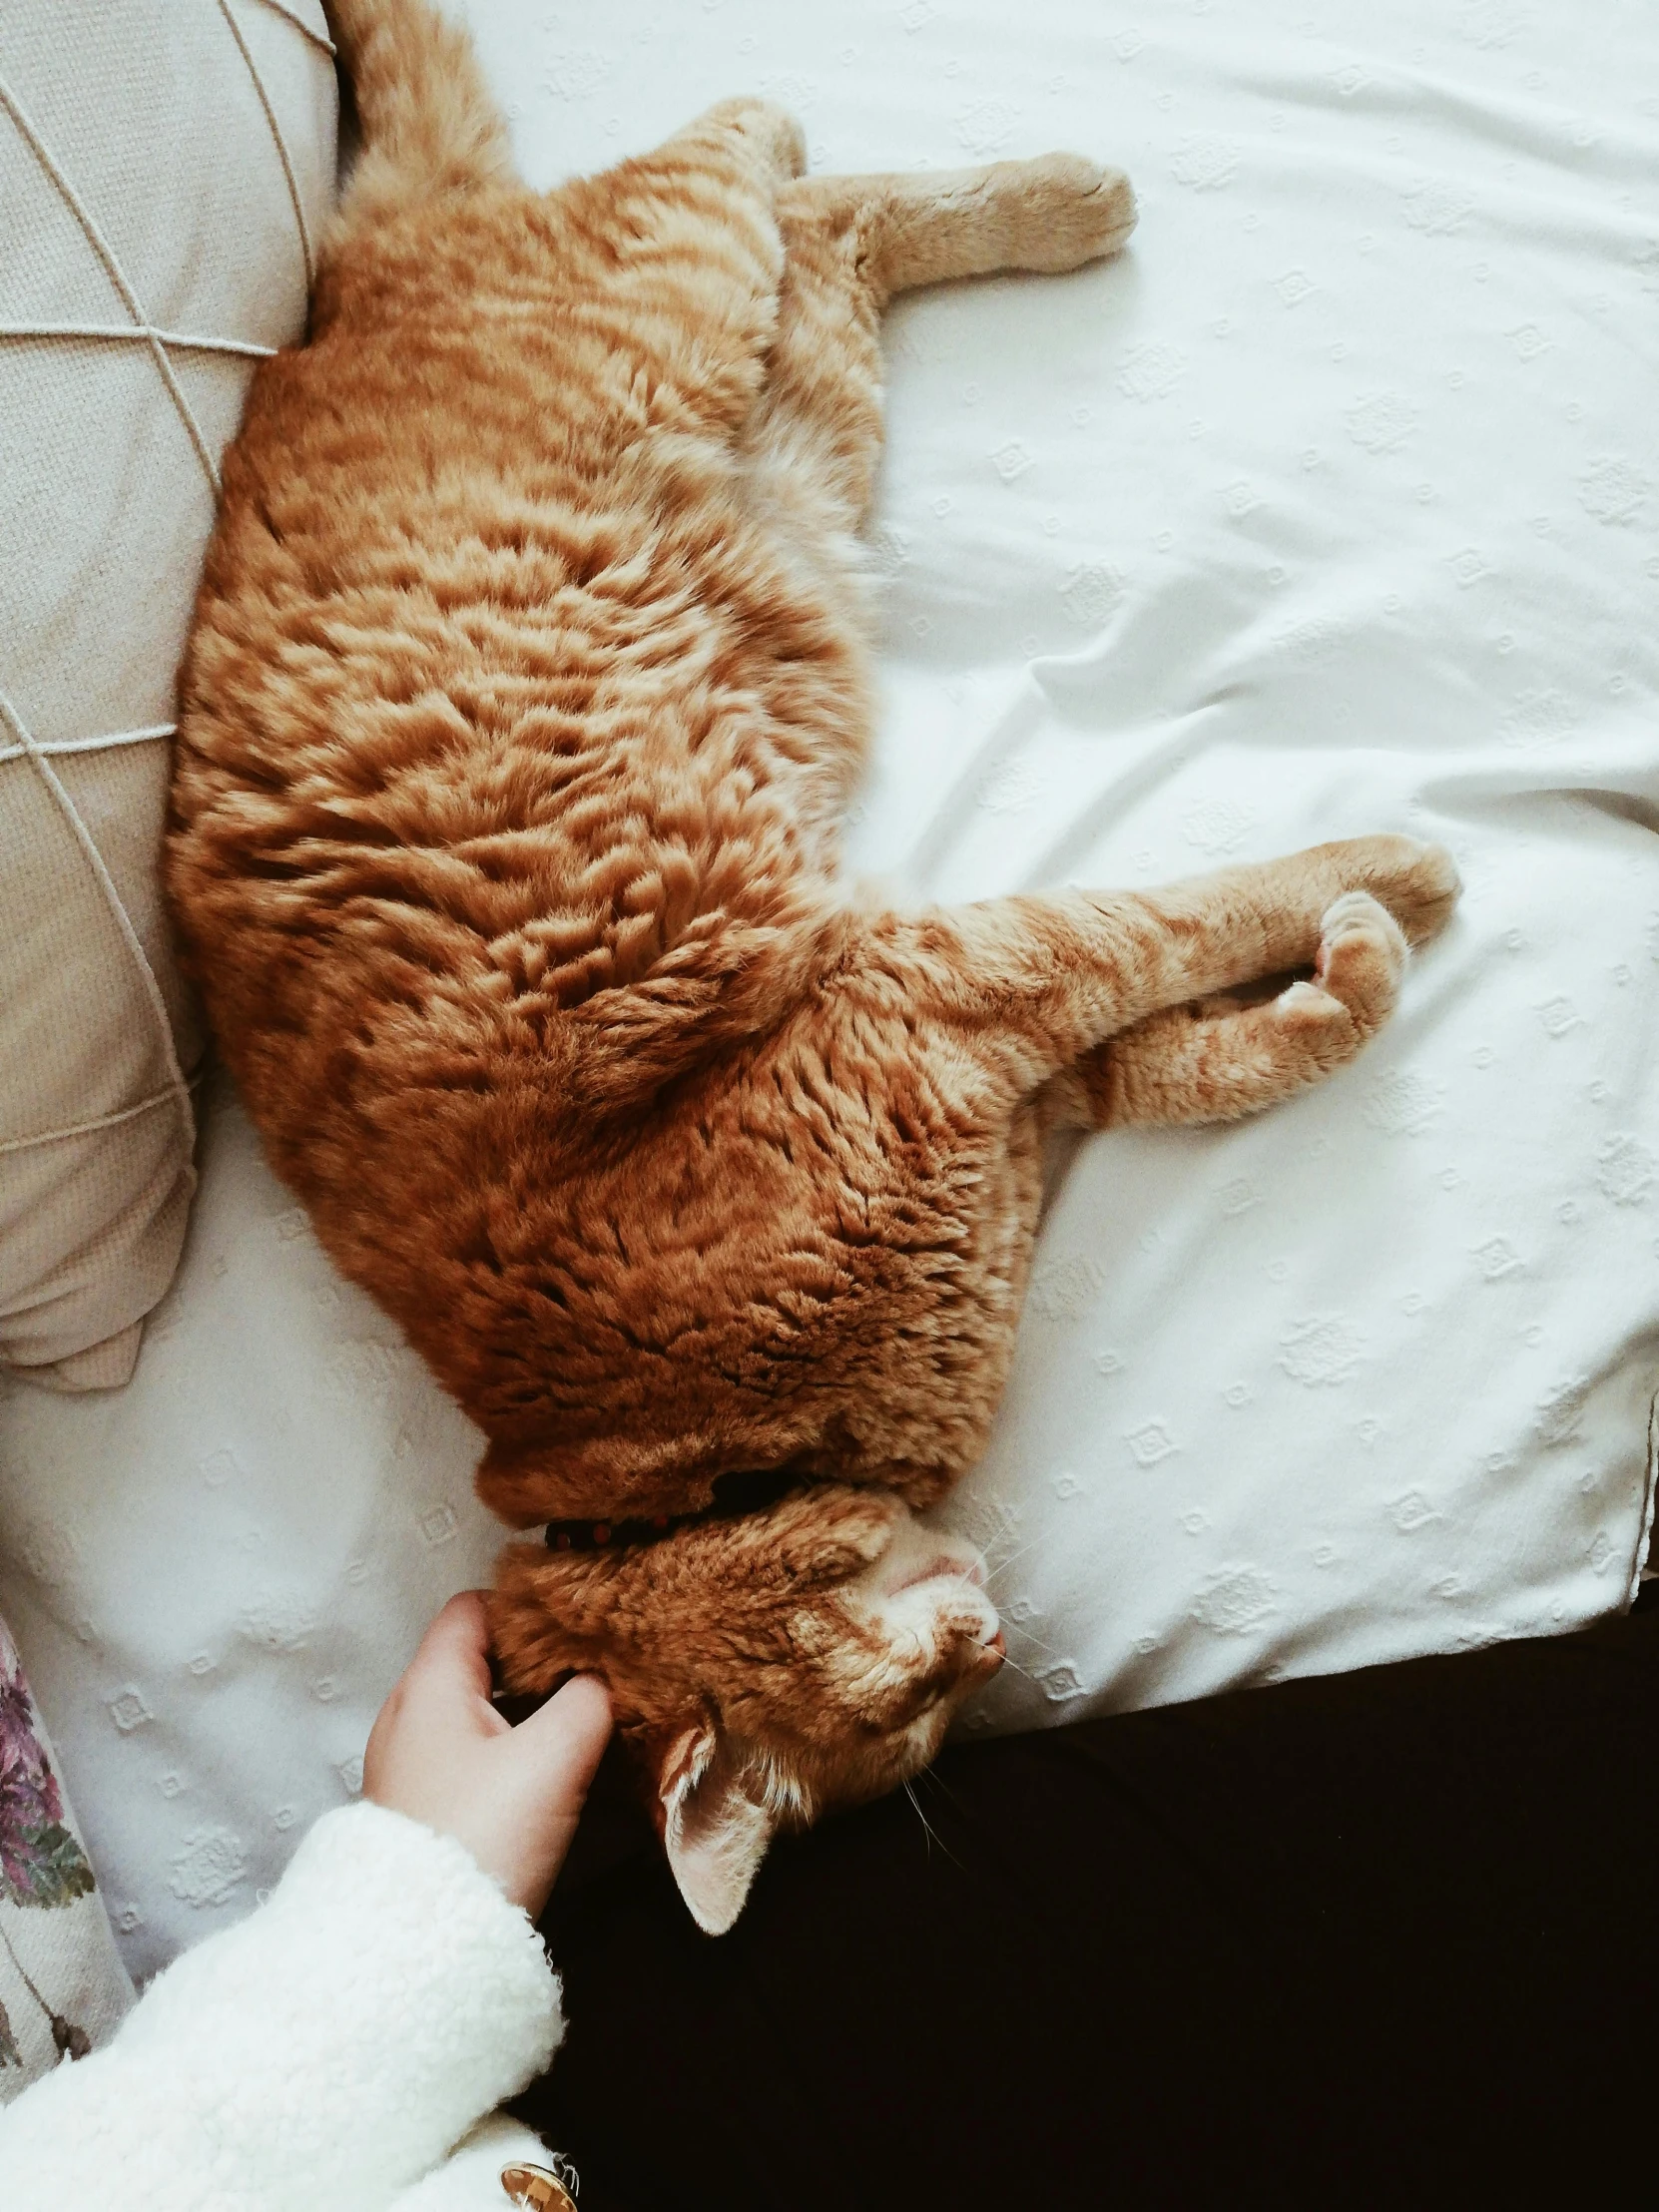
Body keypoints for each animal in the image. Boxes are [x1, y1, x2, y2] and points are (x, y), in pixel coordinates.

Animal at [166, 0, 1450, 1929]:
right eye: (916, 1728)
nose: (992, 1639)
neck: (711, 1444)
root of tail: (344, 282)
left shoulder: (954, 992)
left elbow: (1189, 916)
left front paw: (1393, 876)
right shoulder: (1003, 1064)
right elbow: (1215, 1039)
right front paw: (1354, 954)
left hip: (679, 324)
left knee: (756, 143)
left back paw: (1057, 189)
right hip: (801, 452)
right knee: (822, 229)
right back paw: (1061, 196)